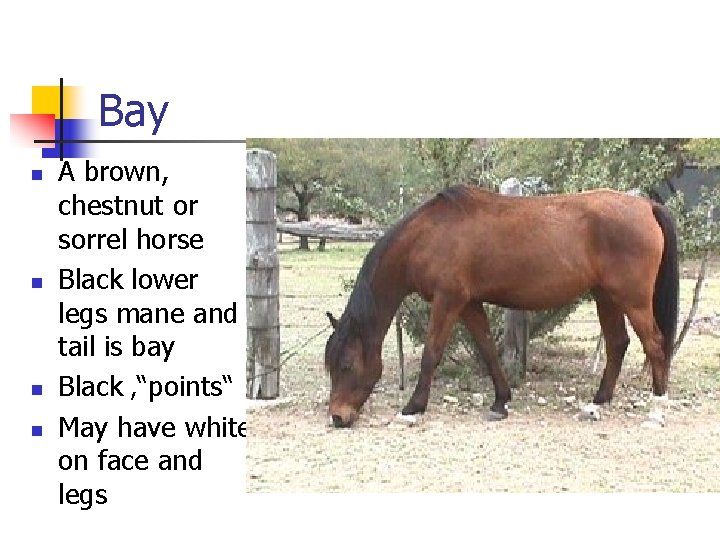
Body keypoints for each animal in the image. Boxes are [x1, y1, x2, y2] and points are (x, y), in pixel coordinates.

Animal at [324, 185, 678, 428]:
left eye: (346, 365)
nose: (338, 417)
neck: (430, 235)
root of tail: (646, 205)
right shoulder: (469, 303)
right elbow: (488, 350)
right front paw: (500, 402)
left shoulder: (448, 300)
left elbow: (431, 354)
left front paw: (412, 409)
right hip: (606, 296)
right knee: (618, 344)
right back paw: (596, 405)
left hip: (632, 300)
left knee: (655, 345)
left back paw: (657, 409)